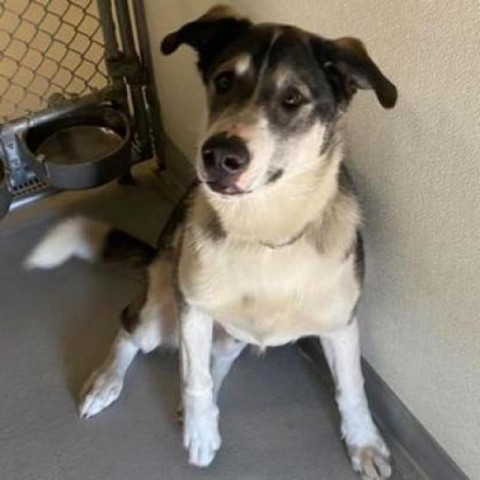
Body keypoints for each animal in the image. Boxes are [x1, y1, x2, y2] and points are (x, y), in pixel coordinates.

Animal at [26, 5, 400, 478]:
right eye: (223, 80)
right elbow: (194, 378)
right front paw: (202, 433)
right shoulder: (194, 308)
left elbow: (352, 386)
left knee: (216, 355)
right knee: (131, 327)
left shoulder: (340, 322)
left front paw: (364, 443)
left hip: (227, 332)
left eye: (292, 98)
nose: (220, 155)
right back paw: (108, 383)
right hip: (160, 312)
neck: (263, 230)